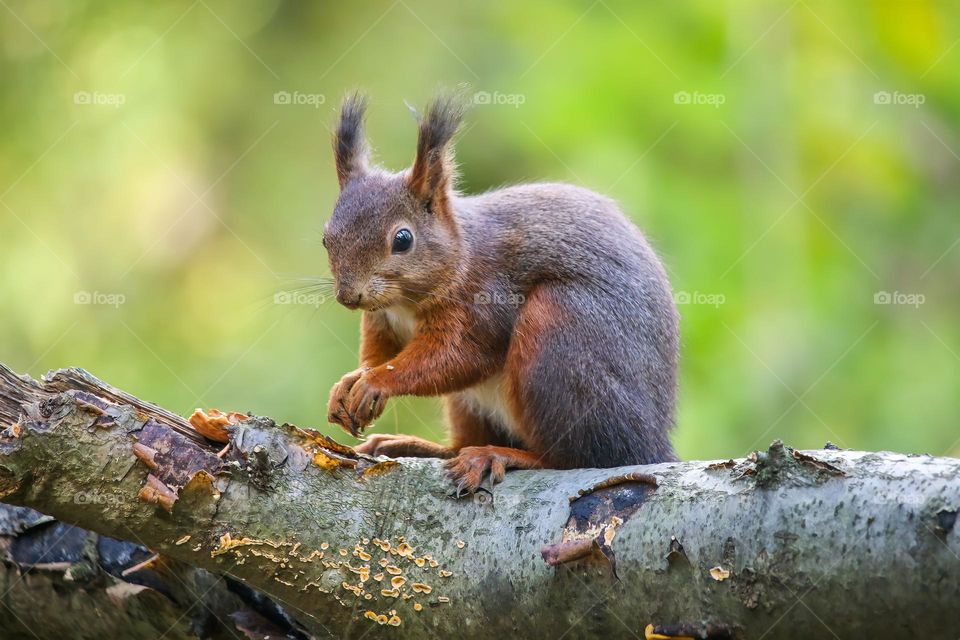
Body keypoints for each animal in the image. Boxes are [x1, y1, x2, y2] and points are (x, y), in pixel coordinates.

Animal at [324, 92, 679, 493]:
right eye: (326, 238)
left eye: (402, 239)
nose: (349, 296)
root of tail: (652, 444)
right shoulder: (382, 319)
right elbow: (379, 352)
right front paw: (348, 383)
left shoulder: (485, 296)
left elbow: (458, 357)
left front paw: (376, 381)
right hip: (469, 405)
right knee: (463, 441)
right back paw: (412, 446)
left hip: (561, 338)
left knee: (576, 458)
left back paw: (499, 456)